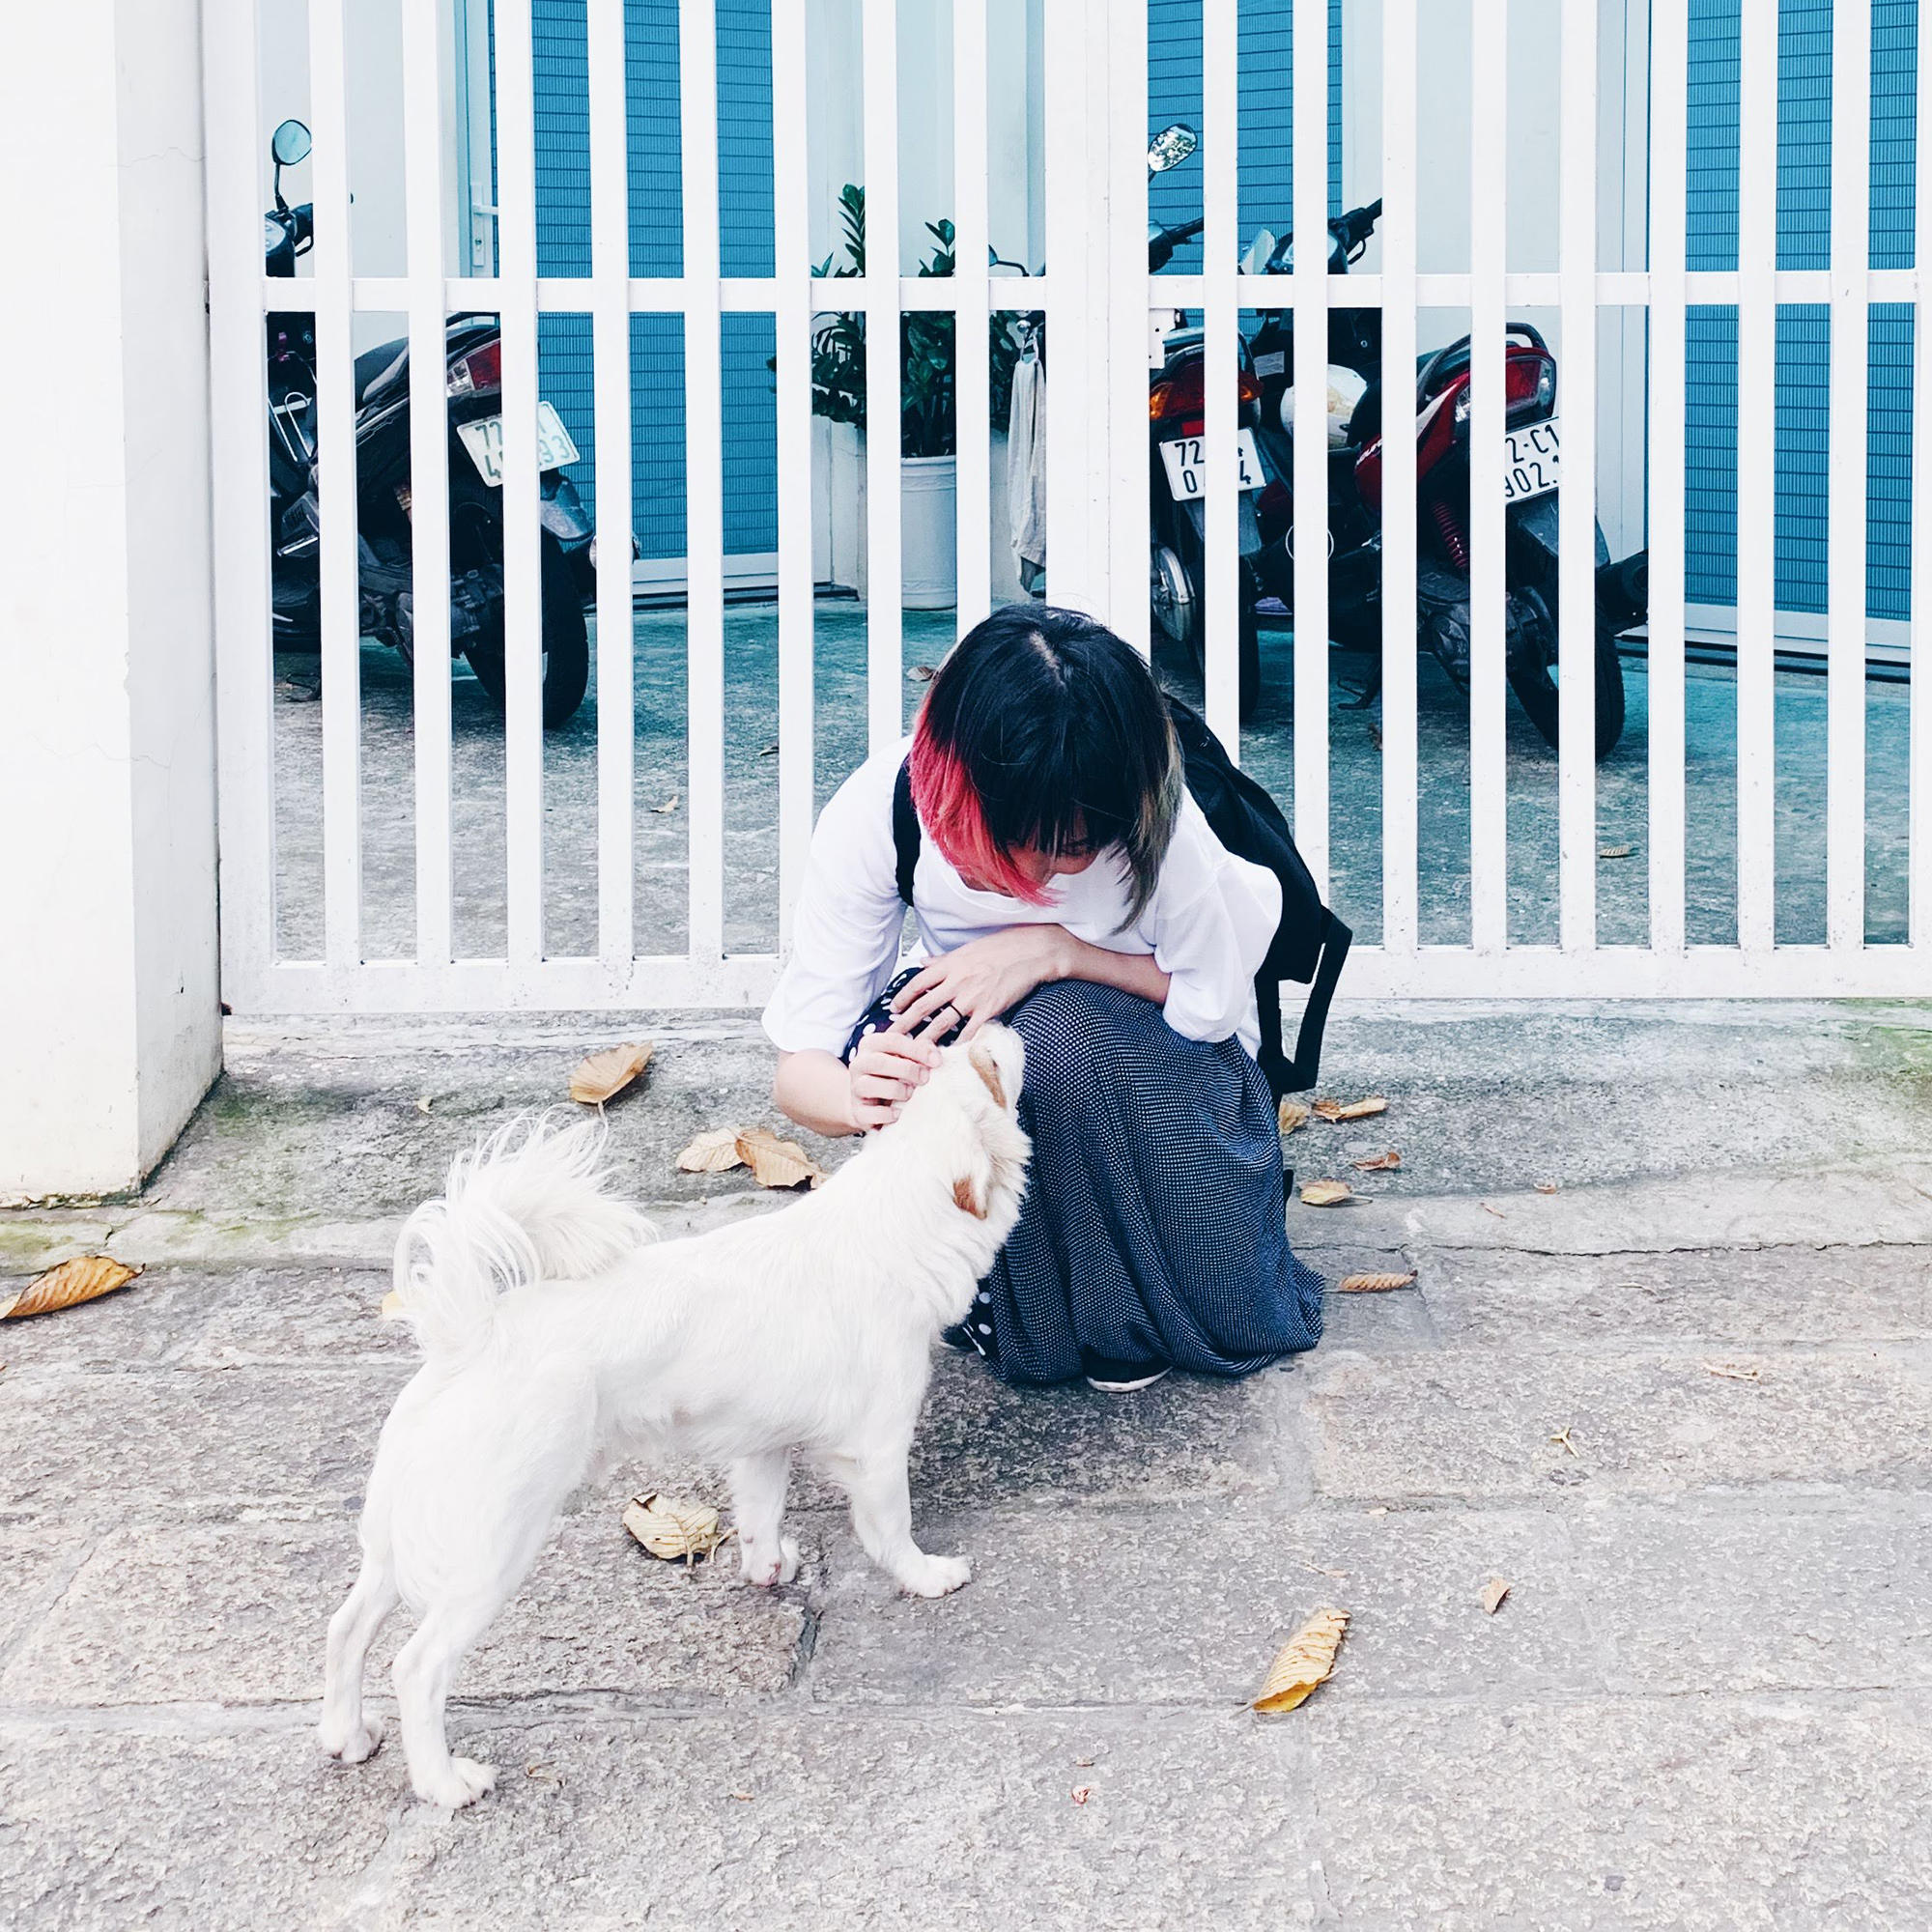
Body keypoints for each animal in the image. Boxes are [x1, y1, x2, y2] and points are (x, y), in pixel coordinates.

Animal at [317, 1024, 1029, 1808]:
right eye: (988, 1065)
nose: (993, 1024)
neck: (887, 1223)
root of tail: (467, 1337)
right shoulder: (876, 1450)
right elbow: (891, 1530)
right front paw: (925, 1576)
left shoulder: (762, 1444)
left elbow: (759, 1515)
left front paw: (768, 1568)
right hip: (489, 1553)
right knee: (417, 1668)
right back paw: (444, 1783)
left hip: (407, 1540)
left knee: (347, 1629)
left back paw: (346, 1736)